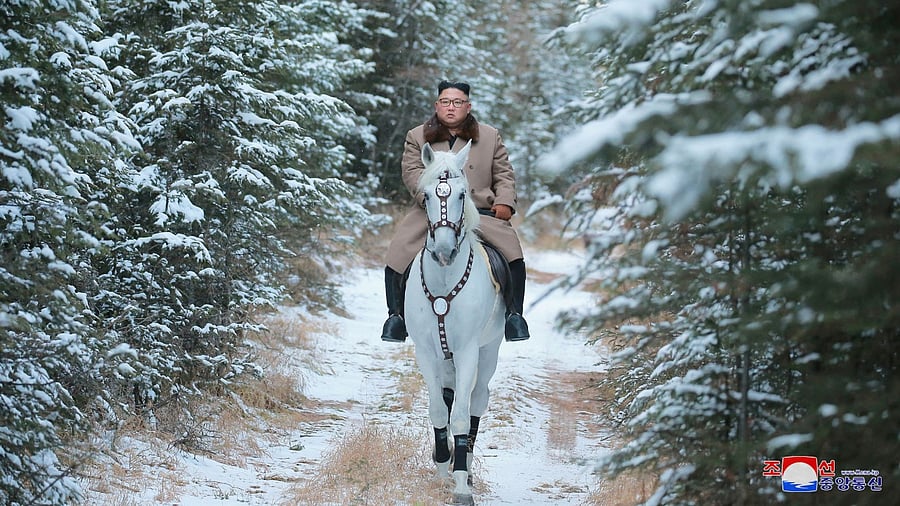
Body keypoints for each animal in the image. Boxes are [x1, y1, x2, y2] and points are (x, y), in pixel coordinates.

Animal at [404, 140, 506, 505]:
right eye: (426, 197)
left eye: (463, 195)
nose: (444, 251)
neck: (445, 280)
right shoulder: (425, 352)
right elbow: (438, 410)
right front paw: (441, 467)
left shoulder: (467, 353)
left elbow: (461, 417)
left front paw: (461, 484)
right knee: (448, 399)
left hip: (488, 353)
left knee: (476, 401)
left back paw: (468, 466)